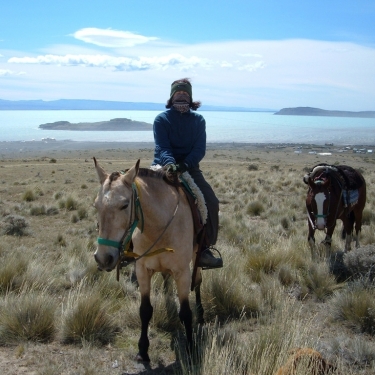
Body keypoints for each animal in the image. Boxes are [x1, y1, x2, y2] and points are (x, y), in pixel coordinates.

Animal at [93, 159, 206, 364]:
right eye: (95, 206)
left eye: (124, 205)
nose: (103, 258)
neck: (159, 226)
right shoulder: (142, 270)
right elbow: (145, 310)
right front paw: (143, 350)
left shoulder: (182, 272)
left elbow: (186, 312)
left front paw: (190, 348)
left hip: (197, 256)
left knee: (198, 281)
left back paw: (201, 315)